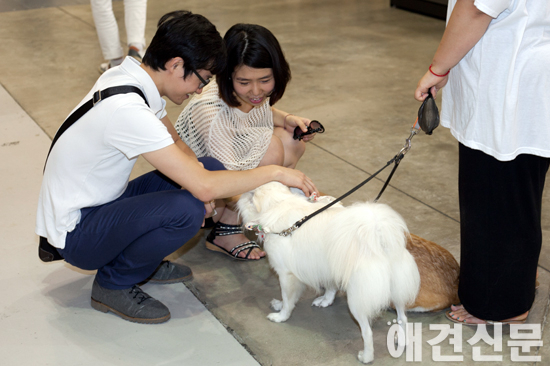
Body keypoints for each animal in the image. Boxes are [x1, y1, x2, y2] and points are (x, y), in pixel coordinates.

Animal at [237, 182, 422, 364]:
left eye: (249, 194)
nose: (238, 197)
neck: (278, 204)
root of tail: (379, 238)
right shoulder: (326, 268)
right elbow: (329, 288)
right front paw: (324, 301)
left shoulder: (286, 275)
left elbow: (288, 300)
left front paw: (280, 316)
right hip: (396, 291)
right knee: (403, 318)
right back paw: (401, 340)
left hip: (356, 301)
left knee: (367, 331)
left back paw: (366, 356)